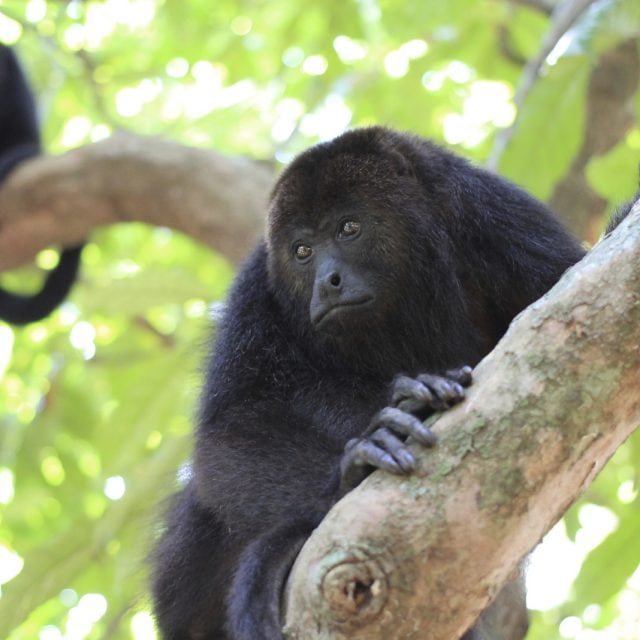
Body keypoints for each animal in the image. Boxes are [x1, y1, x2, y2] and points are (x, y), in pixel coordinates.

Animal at [149, 126, 607, 640]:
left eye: (348, 228)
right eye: (302, 251)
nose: (327, 281)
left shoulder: (496, 216)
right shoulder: (256, 287)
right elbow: (227, 437)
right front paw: (356, 464)